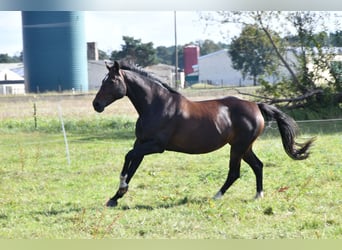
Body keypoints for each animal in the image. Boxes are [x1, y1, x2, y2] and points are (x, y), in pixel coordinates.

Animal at [92, 60, 314, 207]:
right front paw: (115, 197)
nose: (96, 105)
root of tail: (257, 106)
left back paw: (216, 196)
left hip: (238, 148)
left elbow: (128, 157)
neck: (156, 105)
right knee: (258, 165)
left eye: (111, 81)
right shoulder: (141, 143)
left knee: (235, 172)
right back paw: (258, 195)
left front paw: (121, 189)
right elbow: (132, 164)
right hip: (244, 147)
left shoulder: (156, 146)